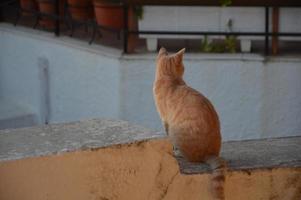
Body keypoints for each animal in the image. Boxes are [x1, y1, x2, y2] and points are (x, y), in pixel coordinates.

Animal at [152, 47, 225, 200]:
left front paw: (173, 149)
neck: (170, 79)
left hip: (176, 131)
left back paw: (178, 153)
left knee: (190, 157)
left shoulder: (165, 120)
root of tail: (210, 153)